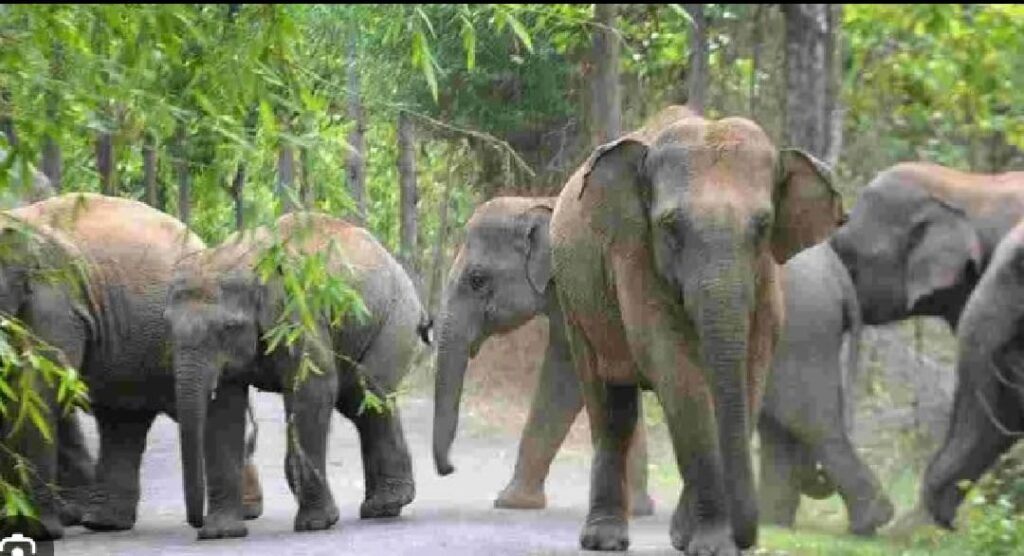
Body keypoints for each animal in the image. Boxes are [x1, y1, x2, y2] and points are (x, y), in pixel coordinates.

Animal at [0, 193, 263, 540]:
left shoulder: (54, 298)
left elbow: (37, 388)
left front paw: (37, 530)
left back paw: (247, 511)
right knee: (122, 418)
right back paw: (101, 522)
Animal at [165, 211, 431, 540]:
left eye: (228, 327)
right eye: (167, 326)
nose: (196, 522)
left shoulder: (298, 312)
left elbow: (315, 387)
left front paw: (316, 524)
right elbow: (223, 409)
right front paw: (220, 533)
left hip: (394, 319)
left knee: (367, 393)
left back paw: (385, 506)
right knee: (358, 402)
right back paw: (380, 507)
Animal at [549, 105, 843, 553]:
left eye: (763, 226)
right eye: (671, 227)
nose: (748, 539)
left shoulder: (766, 280)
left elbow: (749, 373)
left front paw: (693, 540)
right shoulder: (635, 257)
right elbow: (679, 372)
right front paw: (713, 544)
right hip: (574, 297)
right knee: (610, 406)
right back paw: (604, 538)